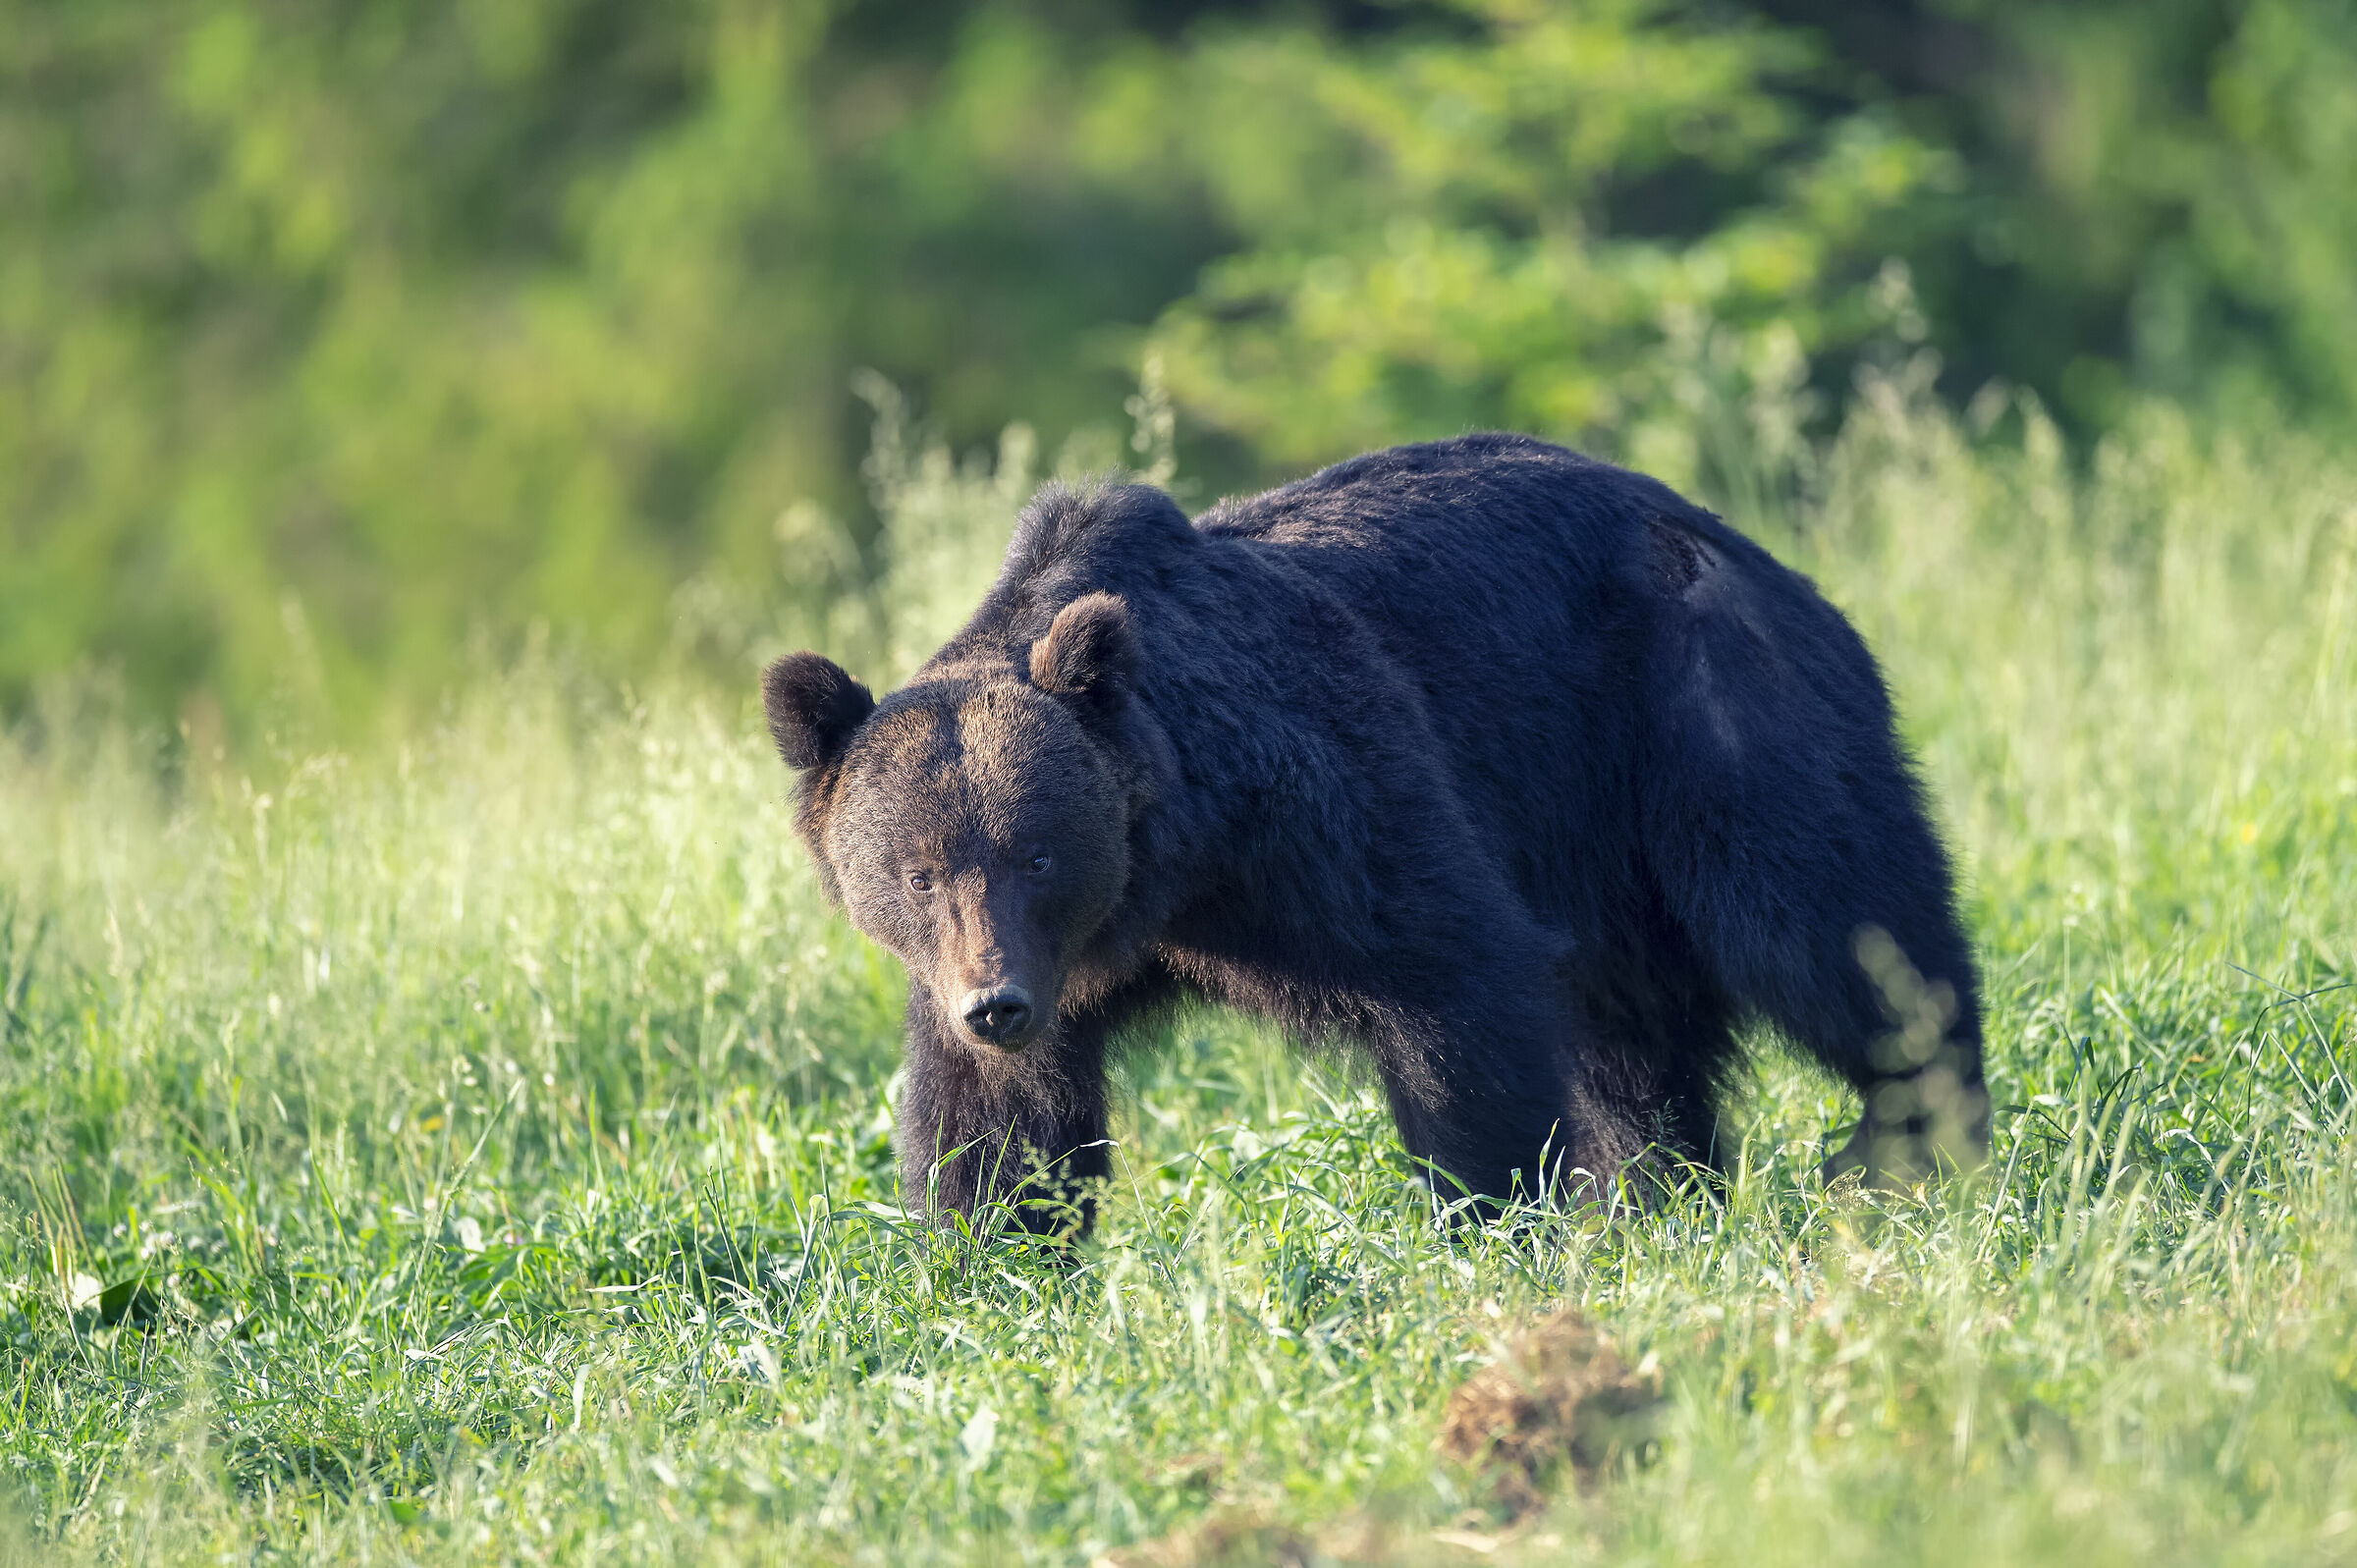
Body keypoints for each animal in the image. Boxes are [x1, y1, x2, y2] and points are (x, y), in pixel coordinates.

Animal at [762, 434, 1985, 1234]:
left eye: (1039, 852)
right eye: (917, 874)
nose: (998, 1003)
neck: (1177, 866)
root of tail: (1748, 545)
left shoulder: (1330, 798)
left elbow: (1456, 983)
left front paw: (1495, 1213)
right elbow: (997, 1130)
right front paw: (989, 1258)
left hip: (1699, 715)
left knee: (1829, 919)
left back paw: (1901, 1146)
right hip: (1594, 844)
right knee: (1635, 1032)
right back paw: (1661, 1192)